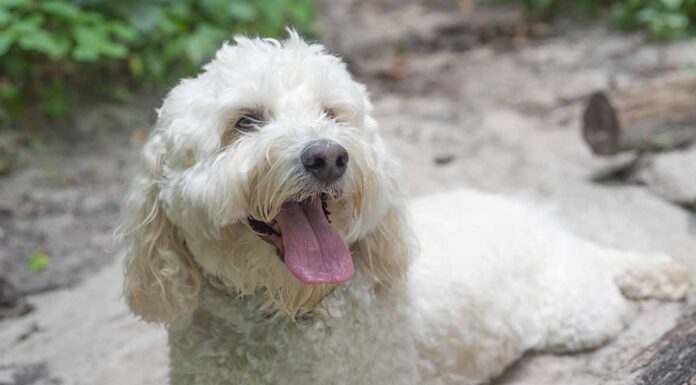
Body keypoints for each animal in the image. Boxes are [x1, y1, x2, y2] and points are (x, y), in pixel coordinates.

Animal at [119, 33, 692, 384]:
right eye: (245, 122)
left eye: (333, 114)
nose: (328, 156)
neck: (294, 312)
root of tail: (551, 228)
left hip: (578, 315)